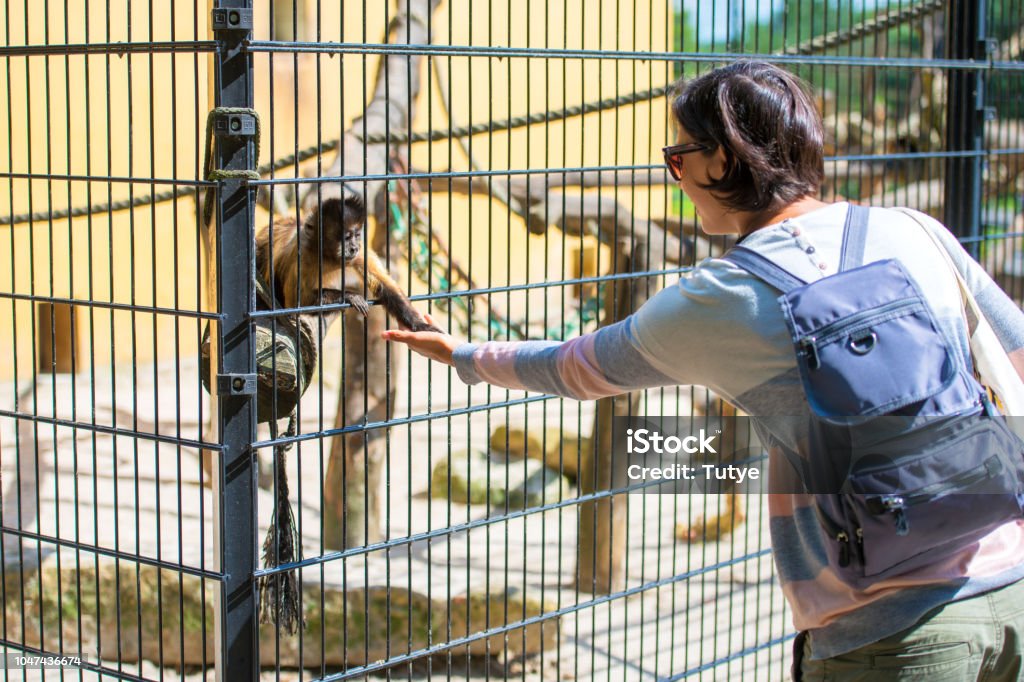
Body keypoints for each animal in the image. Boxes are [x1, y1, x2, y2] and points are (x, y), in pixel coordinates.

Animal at [256, 191, 440, 331]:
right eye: (346, 237)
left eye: (357, 235)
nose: (353, 248)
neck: (329, 256)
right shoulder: (304, 253)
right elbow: (295, 304)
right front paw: (350, 296)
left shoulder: (360, 254)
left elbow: (386, 286)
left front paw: (418, 325)